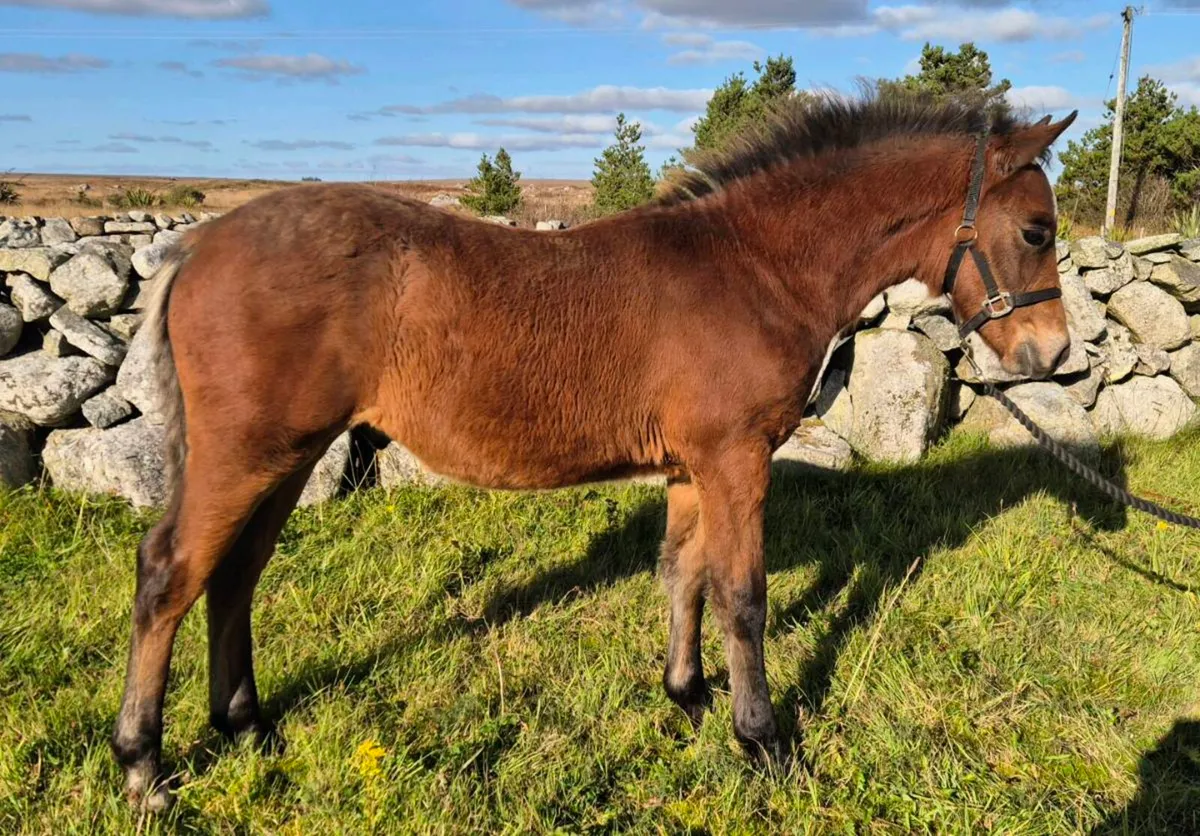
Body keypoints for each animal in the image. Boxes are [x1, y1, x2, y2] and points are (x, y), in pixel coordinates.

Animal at [110, 92, 1077, 809]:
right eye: (1036, 230)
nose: (1054, 354)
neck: (754, 268)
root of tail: (199, 243)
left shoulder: (694, 466)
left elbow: (685, 576)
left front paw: (688, 697)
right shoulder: (737, 460)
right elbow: (744, 597)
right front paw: (766, 744)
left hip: (288, 454)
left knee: (235, 574)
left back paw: (246, 725)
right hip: (249, 454)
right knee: (169, 574)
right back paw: (144, 766)